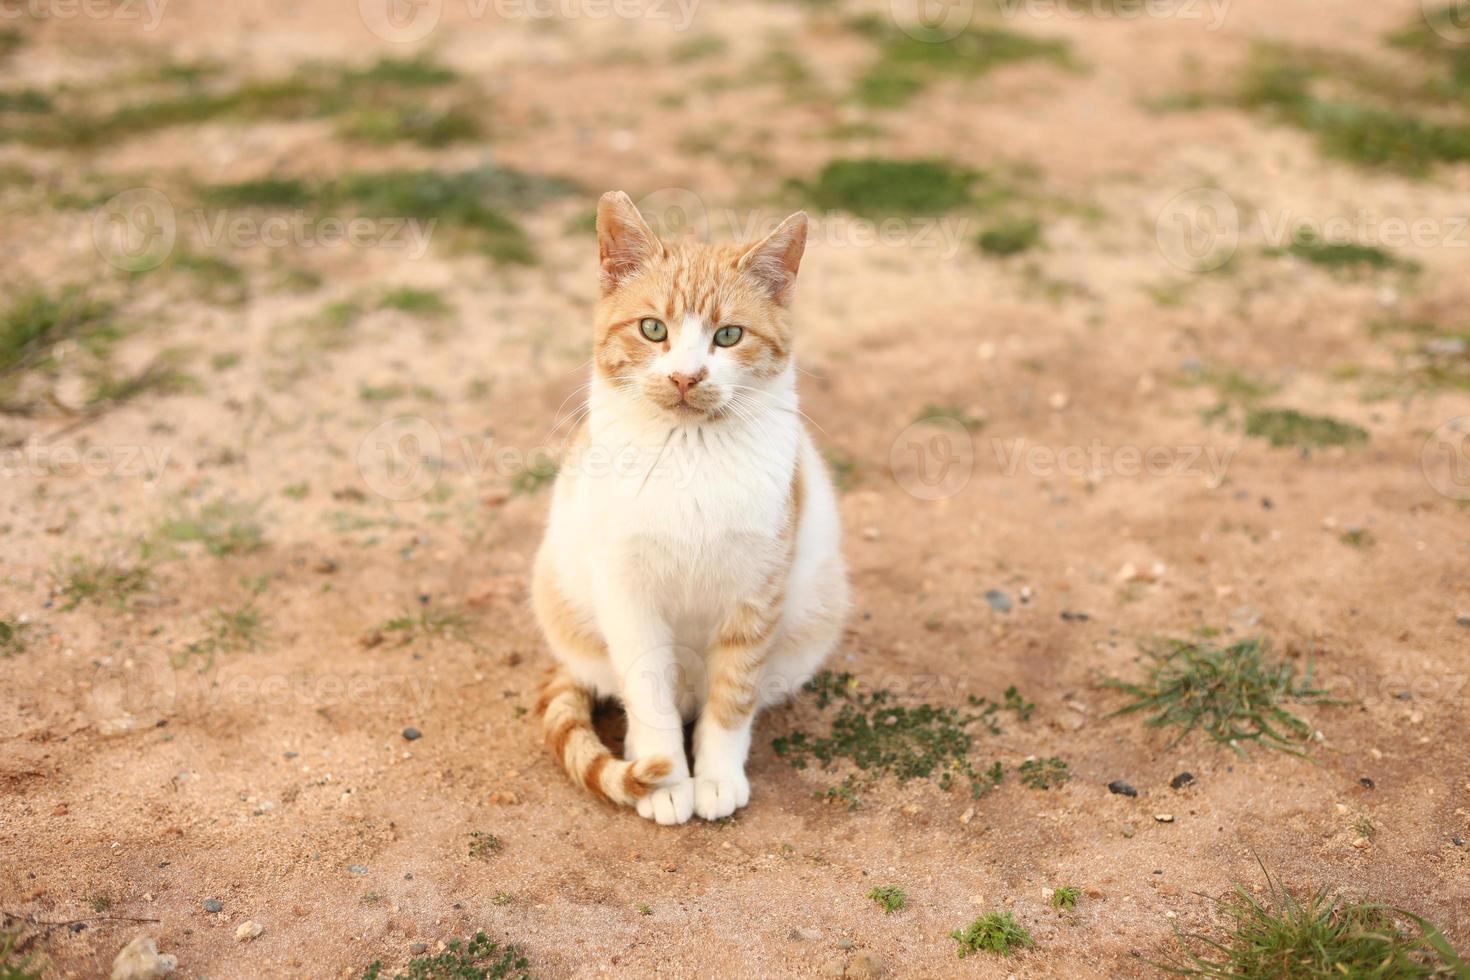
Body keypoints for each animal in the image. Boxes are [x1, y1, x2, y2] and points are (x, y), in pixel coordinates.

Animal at [535, 189, 846, 822]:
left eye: (728, 336)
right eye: (653, 329)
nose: (685, 376)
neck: (690, 451)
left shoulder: (757, 593)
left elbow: (732, 698)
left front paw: (717, 776)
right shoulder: (627, 594)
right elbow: (647, 692)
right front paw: (665, 779)